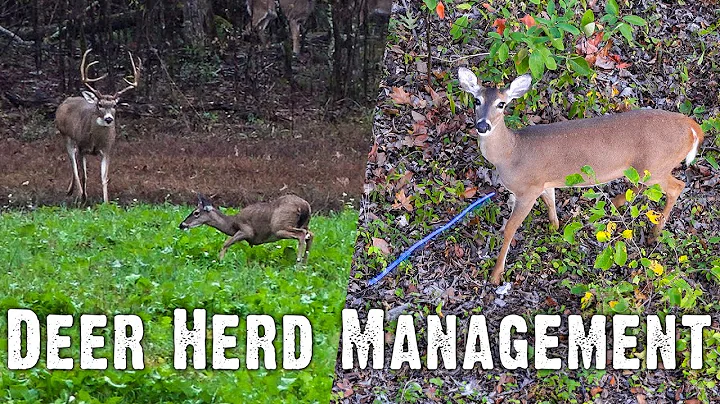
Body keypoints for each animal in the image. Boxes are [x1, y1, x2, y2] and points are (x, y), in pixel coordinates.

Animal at [55, 49, 140, 204]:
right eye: (100, 104)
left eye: (114, 105)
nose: (109, 118)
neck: (95, 141)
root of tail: (66, 100)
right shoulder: (82, 147)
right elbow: (84, 175)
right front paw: (84, 197)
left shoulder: (107, 149)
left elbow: (104, 177)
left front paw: (106, 202)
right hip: (66, 135)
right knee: (73, 162)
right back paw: (77, 193)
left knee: (73, 159)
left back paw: (71, 190)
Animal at [179, 194, 314, 263]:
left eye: (196, 213)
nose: (182, 225)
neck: (232, 224)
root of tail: (304, 206)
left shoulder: (247, 231)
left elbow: (226, 243)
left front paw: (220, 262)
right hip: (303, 224)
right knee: (310, 235)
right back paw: (304, 264)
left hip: (280, 227)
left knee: (302, 234)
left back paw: (298, 262)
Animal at [457, 67, 704, 285]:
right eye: (476, 100)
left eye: (501, 104)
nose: (482, 126)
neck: (511, 152)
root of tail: (692, 128)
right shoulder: (544, 182)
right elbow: (551, 203)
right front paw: (555, 228)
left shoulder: (527, 189)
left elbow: (509, 229)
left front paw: (496, 274)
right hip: (647, 169)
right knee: (646, 187)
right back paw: (616, 203)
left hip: (656, 166)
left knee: (676, 186)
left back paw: (654, 232)